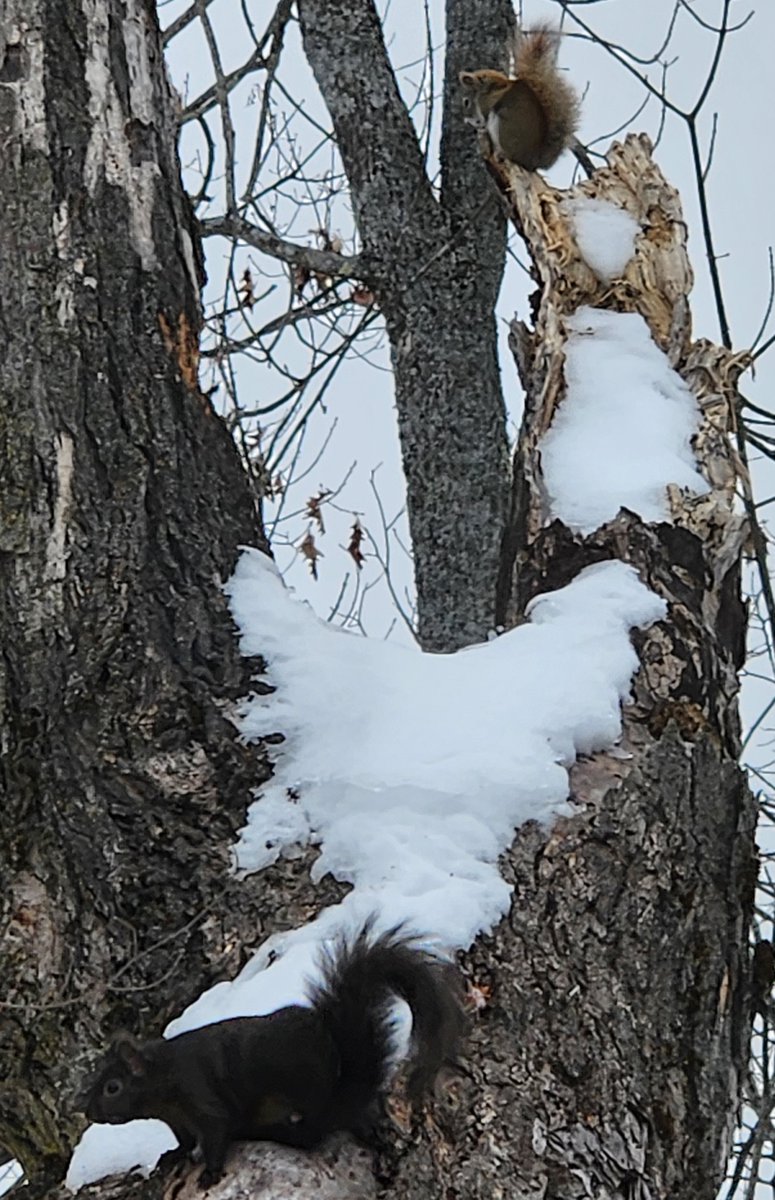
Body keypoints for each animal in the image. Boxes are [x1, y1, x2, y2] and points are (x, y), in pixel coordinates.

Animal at [78, 922, 465, 1188]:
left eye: (112, 1087)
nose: (89, 1112)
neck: (165, 1078)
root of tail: (339, 1097)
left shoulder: (201, 1096)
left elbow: (216, 1133)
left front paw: (210, 1172)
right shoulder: (179, 1120)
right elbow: (184, 1140)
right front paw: (174, 1156)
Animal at [459, 25, 581, 171]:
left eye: (466, 102)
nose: (466, 119)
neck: (487, 89)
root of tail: (532, 161)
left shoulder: (486, 104)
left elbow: (483, 119)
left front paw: (476, 124)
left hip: (504, 125)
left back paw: (501, 153)